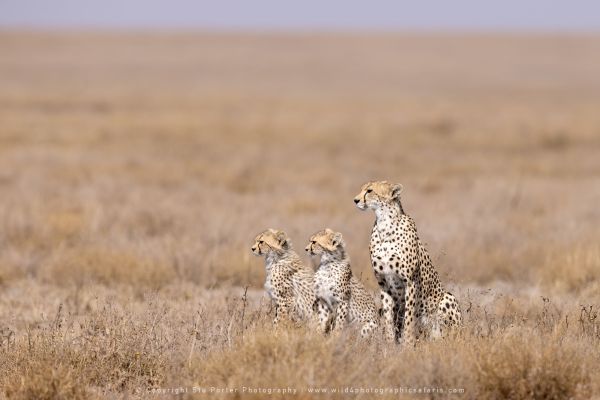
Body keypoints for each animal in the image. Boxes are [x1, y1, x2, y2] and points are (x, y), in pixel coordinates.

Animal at [354, 183, 462, 346]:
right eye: (362, 189)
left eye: (370, 191)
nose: (355, 200)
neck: (384, 224)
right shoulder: (384, 283)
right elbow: (388, 318)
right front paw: (390, 344)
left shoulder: (411, 281)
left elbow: (410, 316)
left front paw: (408, 344)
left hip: (447, 299)